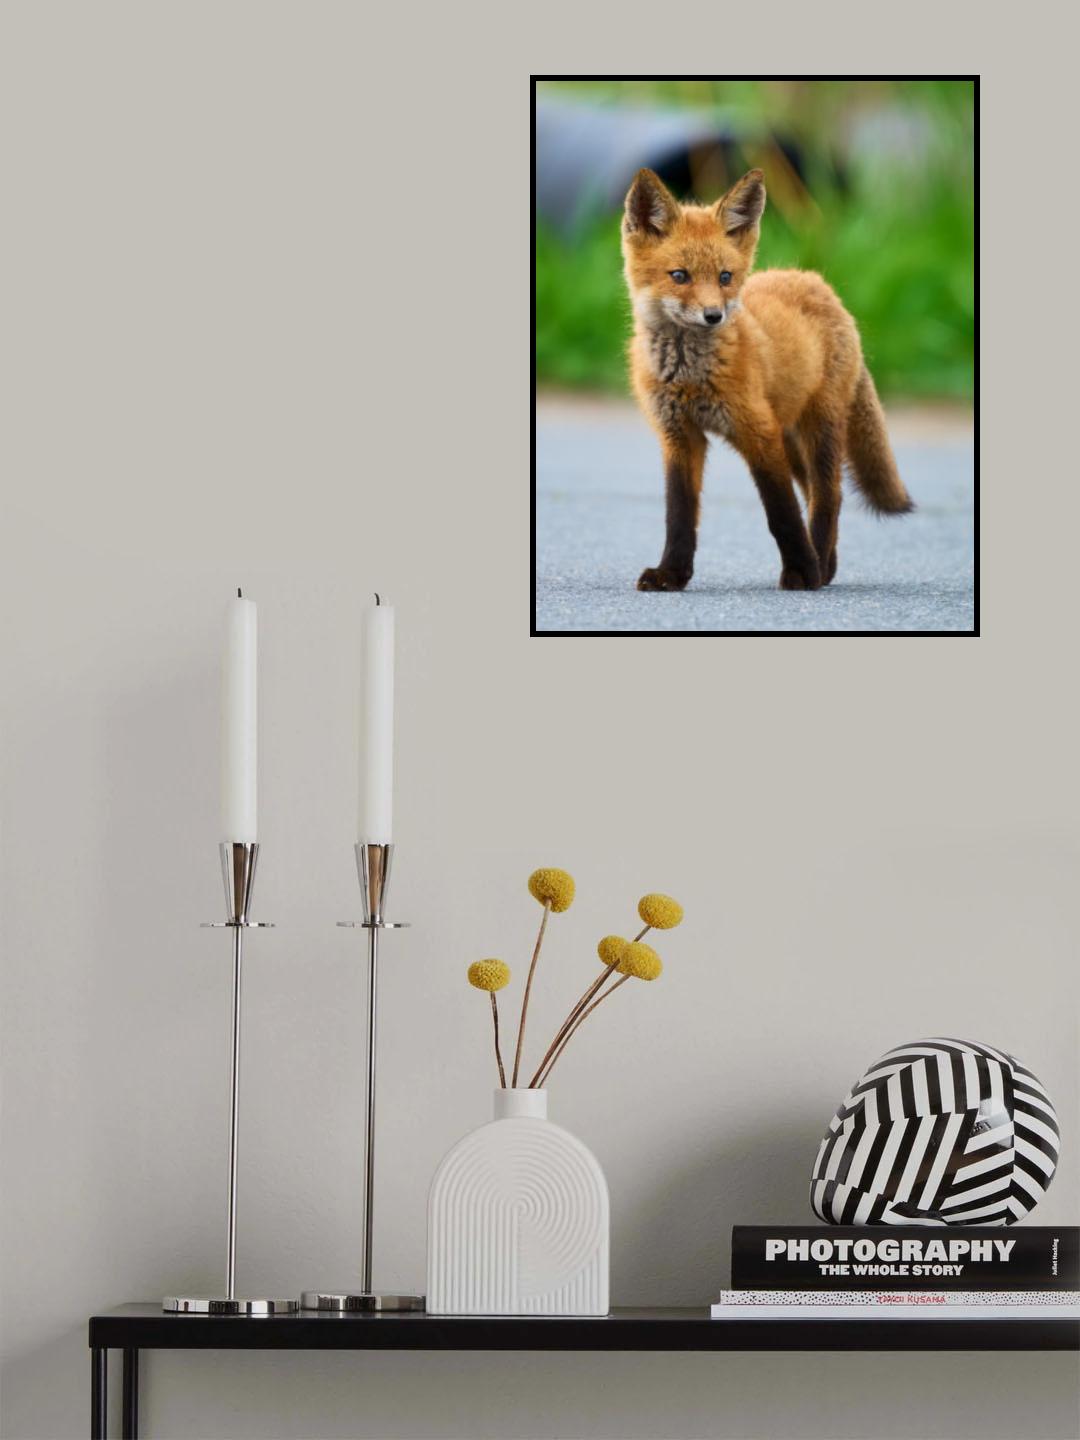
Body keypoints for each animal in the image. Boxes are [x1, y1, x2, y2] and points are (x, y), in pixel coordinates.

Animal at [622, 167, 913, 592]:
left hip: (818, 427)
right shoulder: (678, 436)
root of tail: (815, 281)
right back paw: (827, 565)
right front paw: (671, 574)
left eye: (725, 277)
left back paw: (818, 565)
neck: (690, 375)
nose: (714, 315)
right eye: (679, 276)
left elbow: (782, 513)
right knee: (814, 493)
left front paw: (802, 572)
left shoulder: (758, 431)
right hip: (791, 439)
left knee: (829, 495)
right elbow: (679, 515)